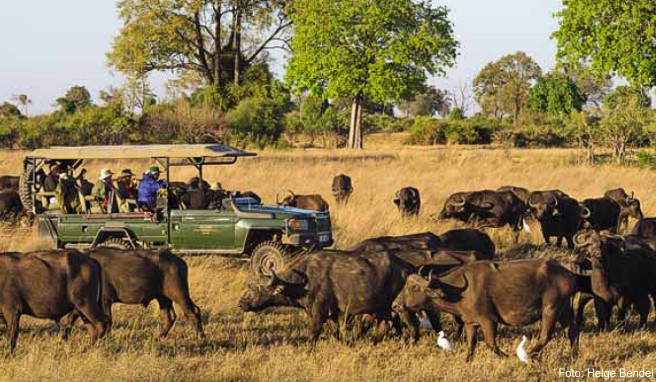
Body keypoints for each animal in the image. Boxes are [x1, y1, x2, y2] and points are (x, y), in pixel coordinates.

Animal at [62, 249, 205, 338]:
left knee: (193, 311)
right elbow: (71, 317)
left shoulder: (104, 300)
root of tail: (180, 261)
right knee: (169, 317)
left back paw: (201, 336)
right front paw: (64, 336)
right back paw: (160, 336)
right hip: (163, 298)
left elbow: (107, 320)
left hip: (179, 294)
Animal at [240, 252, 416, 344]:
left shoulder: (320, 313)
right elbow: (335, 333)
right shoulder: (332, 315)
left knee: (411, 324)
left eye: (258, 290)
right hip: (382, 308)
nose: (241, 303)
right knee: (385, 325)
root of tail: (408, 267)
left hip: (400, 307)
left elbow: (314, 334)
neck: (305, 280)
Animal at [392, 258, 576, 360]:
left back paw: (529, 353)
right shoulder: (470, 323)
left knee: (545, 336)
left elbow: (490, 343)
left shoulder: (488, 320)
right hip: (563, 310)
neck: (461, 290)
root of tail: (568, 274)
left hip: (551, 309)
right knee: (572, 330)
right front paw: (467, 360)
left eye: (414, 287)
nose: (395, 305)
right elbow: (471, 344)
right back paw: (574, 355)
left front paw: (506, 357)